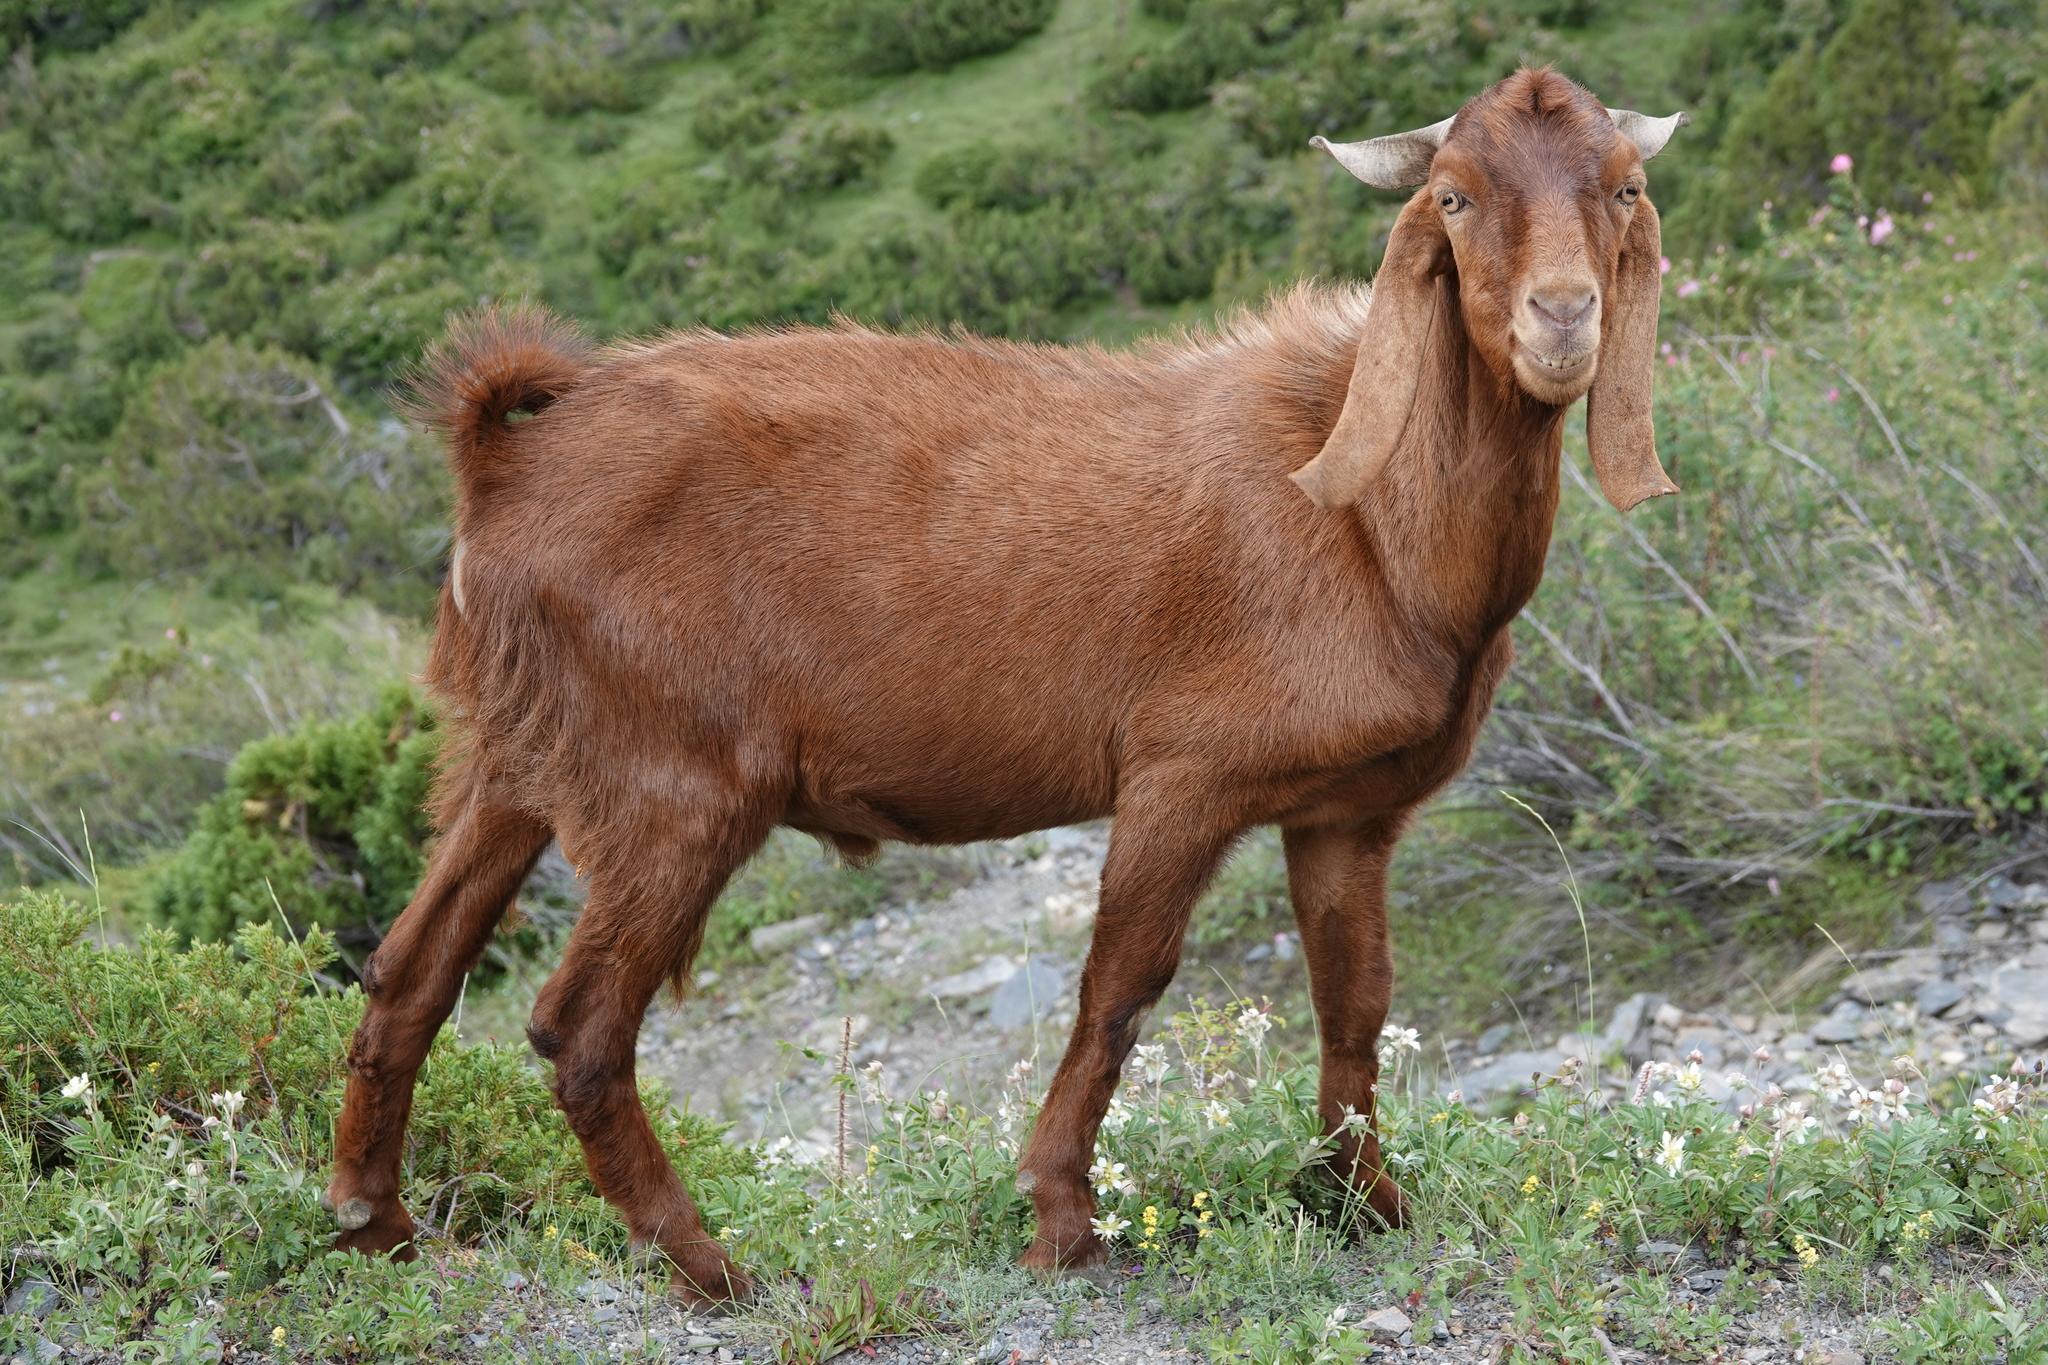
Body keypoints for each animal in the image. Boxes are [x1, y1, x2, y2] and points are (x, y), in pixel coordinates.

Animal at [325, 67, 1685, 1300]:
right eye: (1451, 196)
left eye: (1623, 187)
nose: (1561, 320)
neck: (1371, 523)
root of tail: (508, 464)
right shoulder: (1182, 774)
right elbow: (1118, 992)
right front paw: (1060, 1224)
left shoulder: (1346, 811)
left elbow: (1354, 1003)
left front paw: (1368, 1205)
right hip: (672, 781)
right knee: (579, 1029)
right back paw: (713, 1268)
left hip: (516, 758)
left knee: (409, 972)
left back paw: (373, 1226)